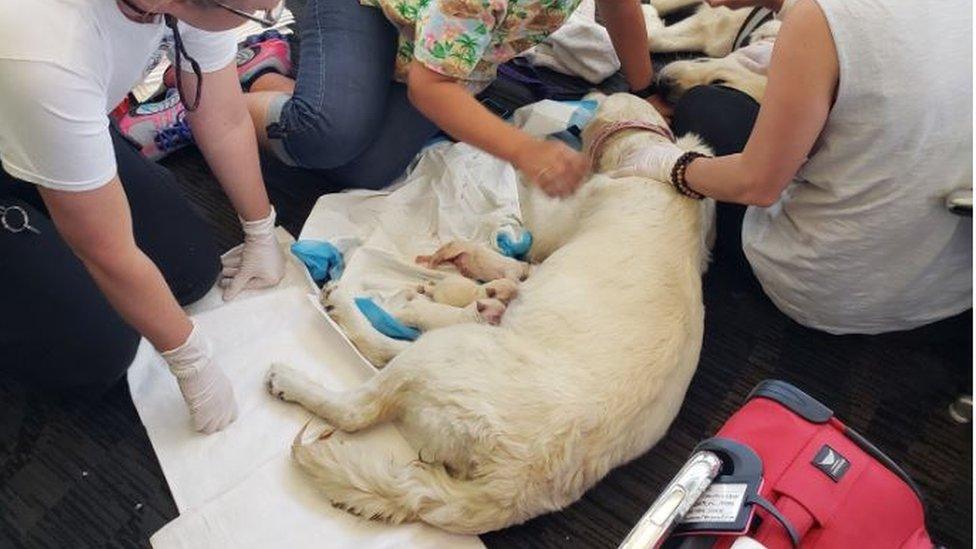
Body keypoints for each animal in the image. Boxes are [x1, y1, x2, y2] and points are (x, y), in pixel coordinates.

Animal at [268, 95, 716, 536]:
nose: (577, 117)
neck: (649, 158)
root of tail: (511, 483)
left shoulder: (554, 228)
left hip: (448, 352)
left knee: (363, 394)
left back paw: (309, 355)